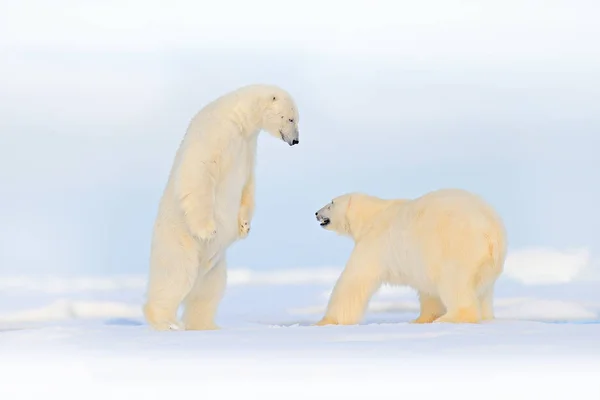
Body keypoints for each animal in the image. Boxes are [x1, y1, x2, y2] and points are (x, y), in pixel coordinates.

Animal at [141, 83, 300, 332]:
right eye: (291, 118)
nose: (296, 141)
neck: (239, 118)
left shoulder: (247, 146)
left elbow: (248, 184)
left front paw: (244, 226)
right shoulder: (216, 133)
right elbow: (199, 171)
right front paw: (209, 230)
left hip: (215, 267)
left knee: (207, 293)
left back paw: (207, 326)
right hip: (179, 244)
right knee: (175, 278)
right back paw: (166, 322)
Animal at [314, 188, 506, 324]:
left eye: (331, 202)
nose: (316, 213)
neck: (371, 217)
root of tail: (491, 230)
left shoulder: (375, 243)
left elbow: (354, 279)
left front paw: (325, 322)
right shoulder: (424, 259)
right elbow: (428, 290)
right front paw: (421, 319)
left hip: (457, 248)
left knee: (454, 283)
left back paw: (450, 318)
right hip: (488, 263)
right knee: (483, 291)